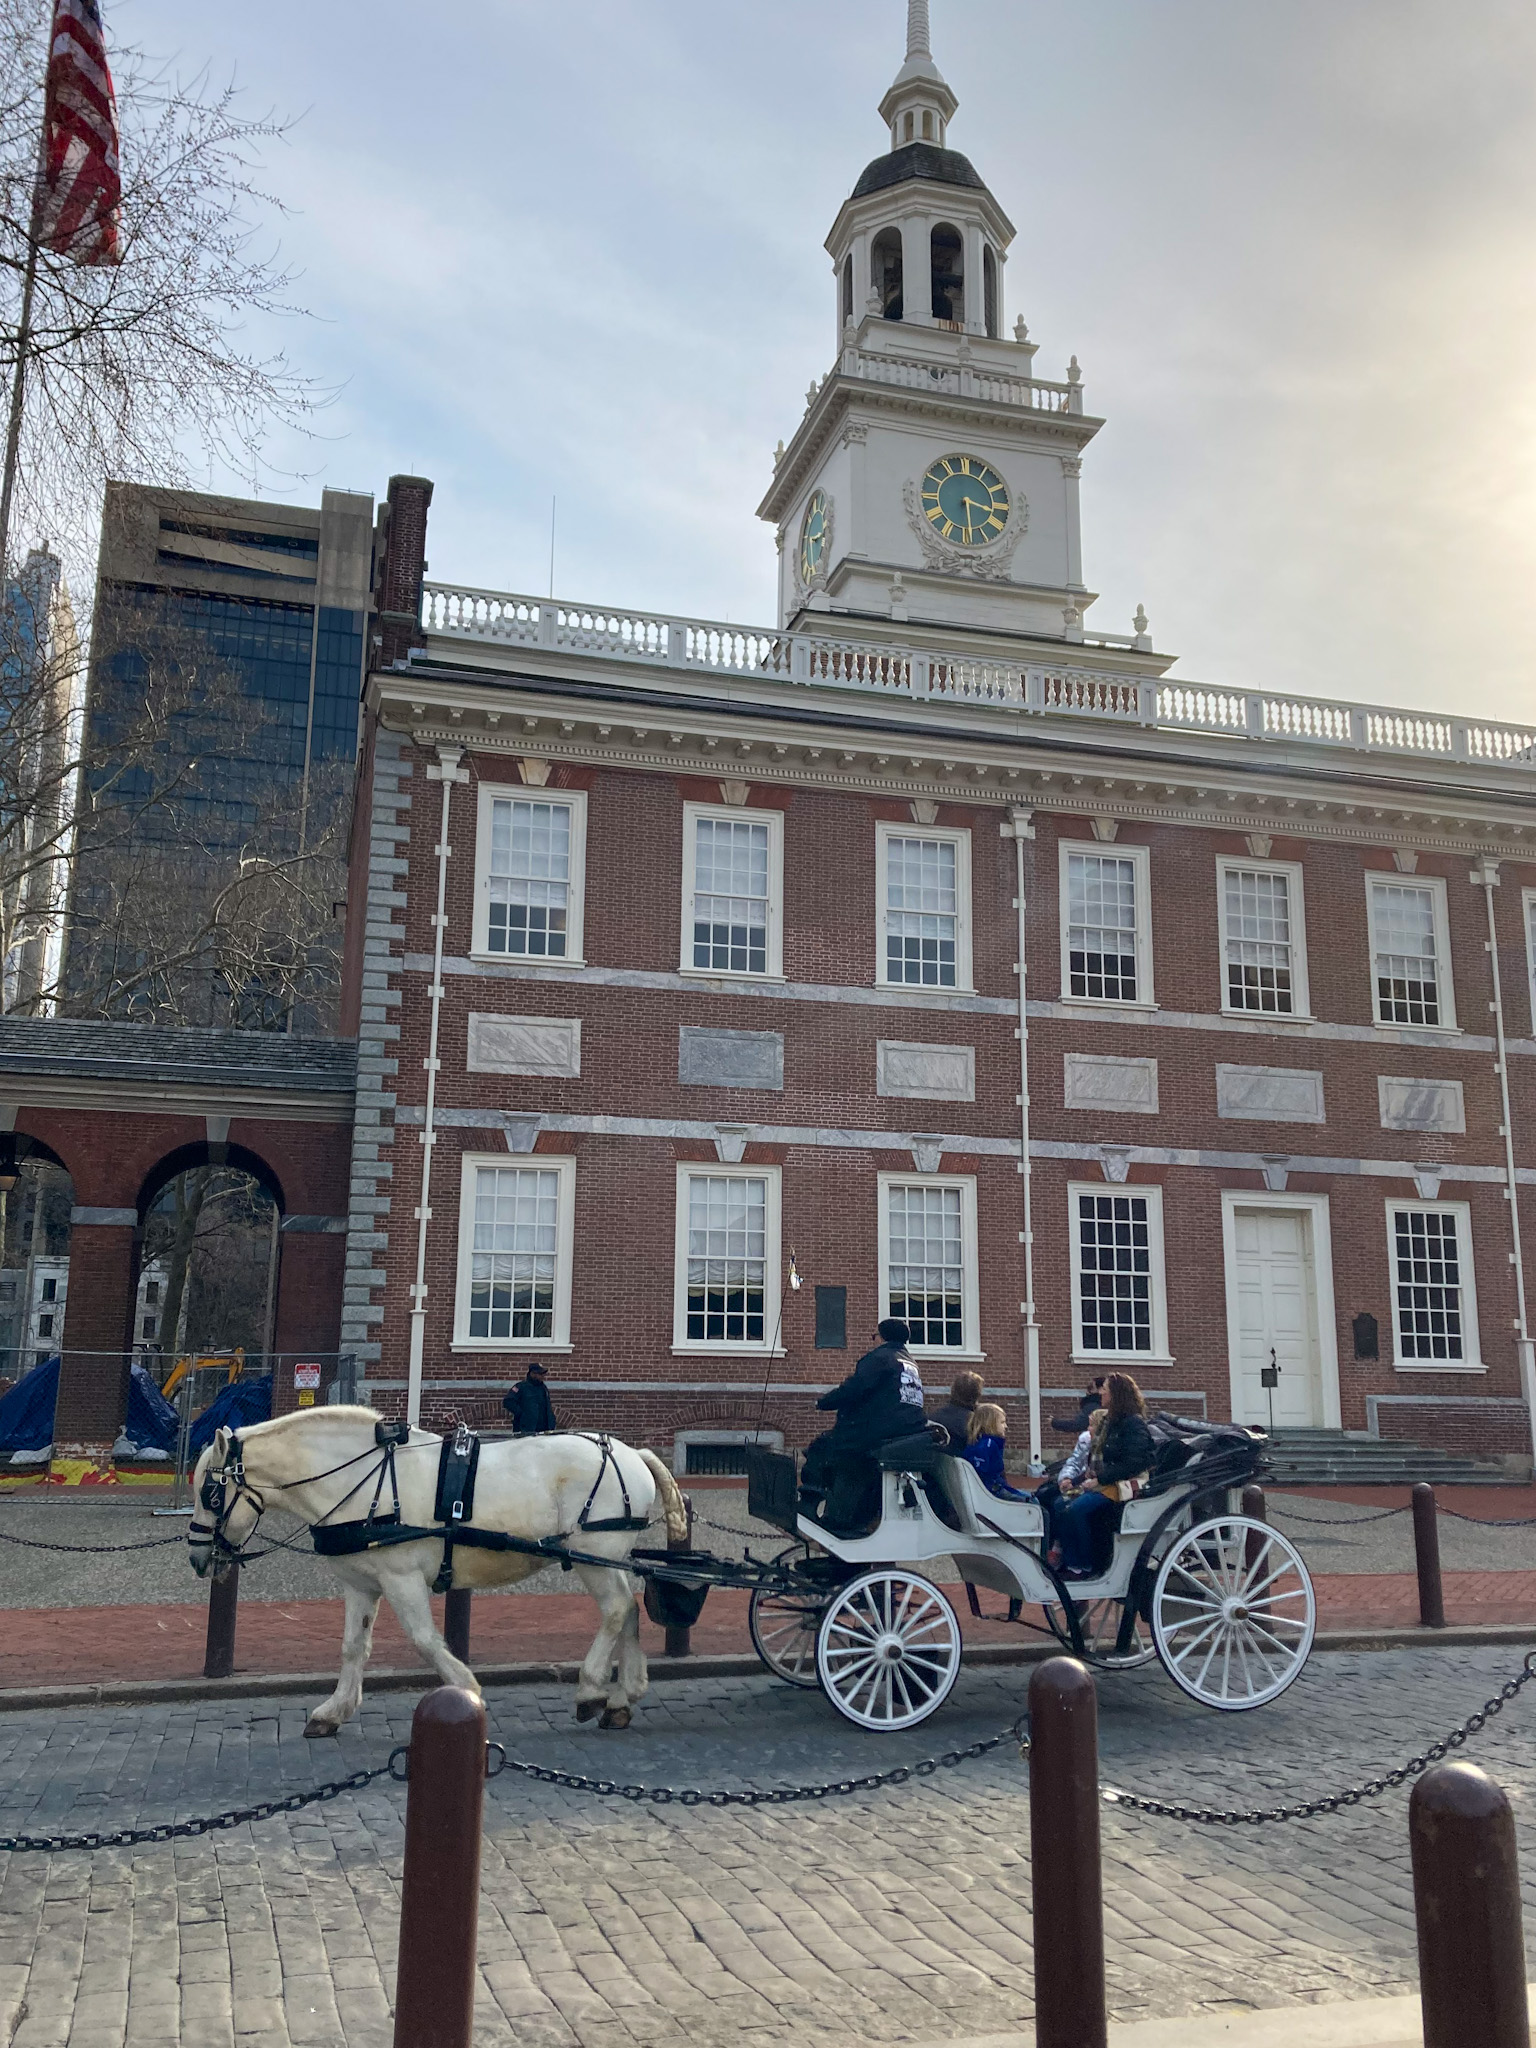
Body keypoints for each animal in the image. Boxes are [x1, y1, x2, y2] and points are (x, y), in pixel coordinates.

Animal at [186, 1417, 684, 1736]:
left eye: (211, 1493)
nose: (196, 1557)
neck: (365, 1483)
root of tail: (633, 1453)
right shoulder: (361, 1582)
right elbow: (353, 1647)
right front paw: (333, 1710)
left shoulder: (401, 1577)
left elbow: (425, 1640)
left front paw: (466, 1690)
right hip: (608, 1559)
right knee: (630, 1610)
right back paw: (623, 1697)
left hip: (592, 1554)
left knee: (616, 1609)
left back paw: (591, 1689)